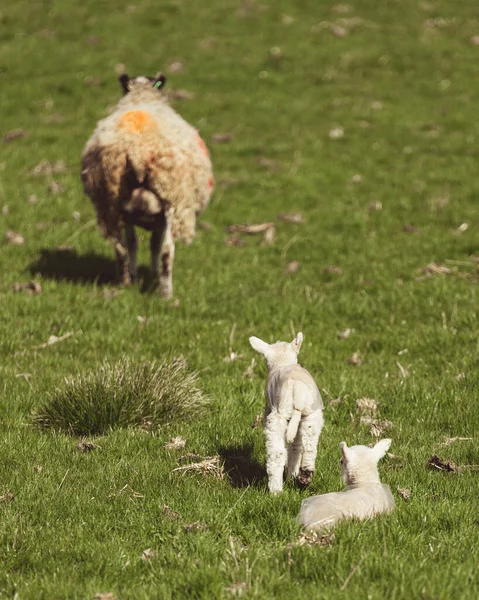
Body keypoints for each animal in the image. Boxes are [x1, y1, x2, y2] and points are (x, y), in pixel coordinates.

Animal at [81, 72, 215, 298]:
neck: (142, 95)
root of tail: (137, 152)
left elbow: (135, 244)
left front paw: (138, 275)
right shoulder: (161, 218)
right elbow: (154, 245)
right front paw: (152, 274)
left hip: (111, 203)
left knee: (120, 249)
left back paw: (125, 283)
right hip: (173, 203)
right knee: (167, 252)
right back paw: (166, 293)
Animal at [249, 332, 324, 492]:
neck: (283, 362)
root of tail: (298, 392)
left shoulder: (268, 407)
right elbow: (296, 446)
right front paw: (293, 474)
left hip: (279, 414)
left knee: (276, 453)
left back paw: (276, 490)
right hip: (311, 414)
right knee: (308, 446)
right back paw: (303, 477)